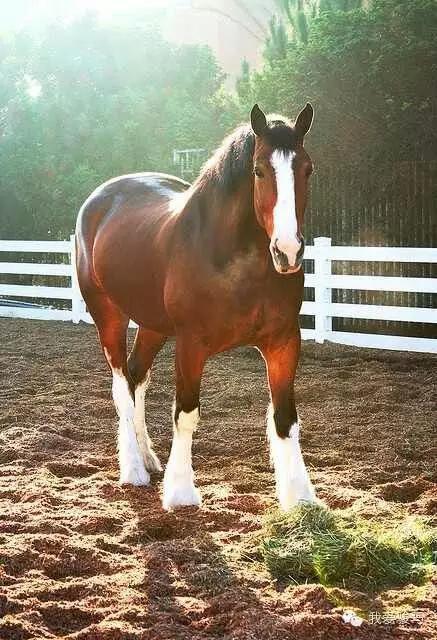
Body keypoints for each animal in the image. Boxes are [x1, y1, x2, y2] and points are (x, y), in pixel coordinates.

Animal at [75, 103, 317, 511]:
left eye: (307, 169)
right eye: (258, 170)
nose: (288, 251)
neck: (232, 259)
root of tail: (99, 199)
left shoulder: (284, 341)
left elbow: (285, 418)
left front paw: (300, 497)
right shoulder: (190, 345)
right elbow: (185, 414)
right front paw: (181, 492)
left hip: (153, 325)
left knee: (137, 377)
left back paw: (147, 457)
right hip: (107, 315)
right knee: (122, 388)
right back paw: (133, 470)